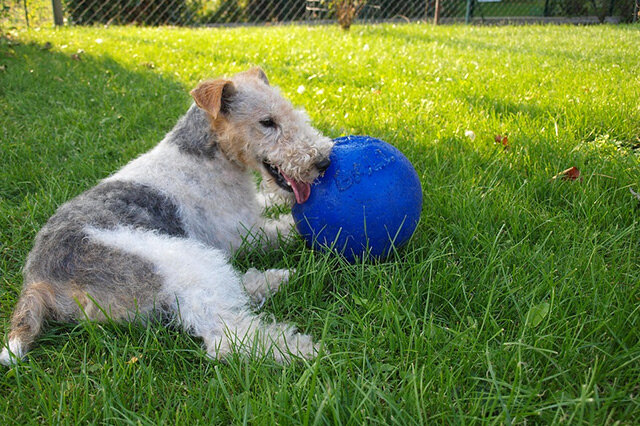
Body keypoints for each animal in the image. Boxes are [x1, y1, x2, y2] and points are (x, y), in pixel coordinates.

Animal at [1, 68, 336, 364]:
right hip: (178, 258)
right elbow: (288, 226)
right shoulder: (243, 232)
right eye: (267, 122)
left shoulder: (250, 210)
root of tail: (37, 279)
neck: (205, 155)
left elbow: (270, 202)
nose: (323, 161)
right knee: (225, 336)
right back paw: (303, 350)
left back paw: (273, 280)